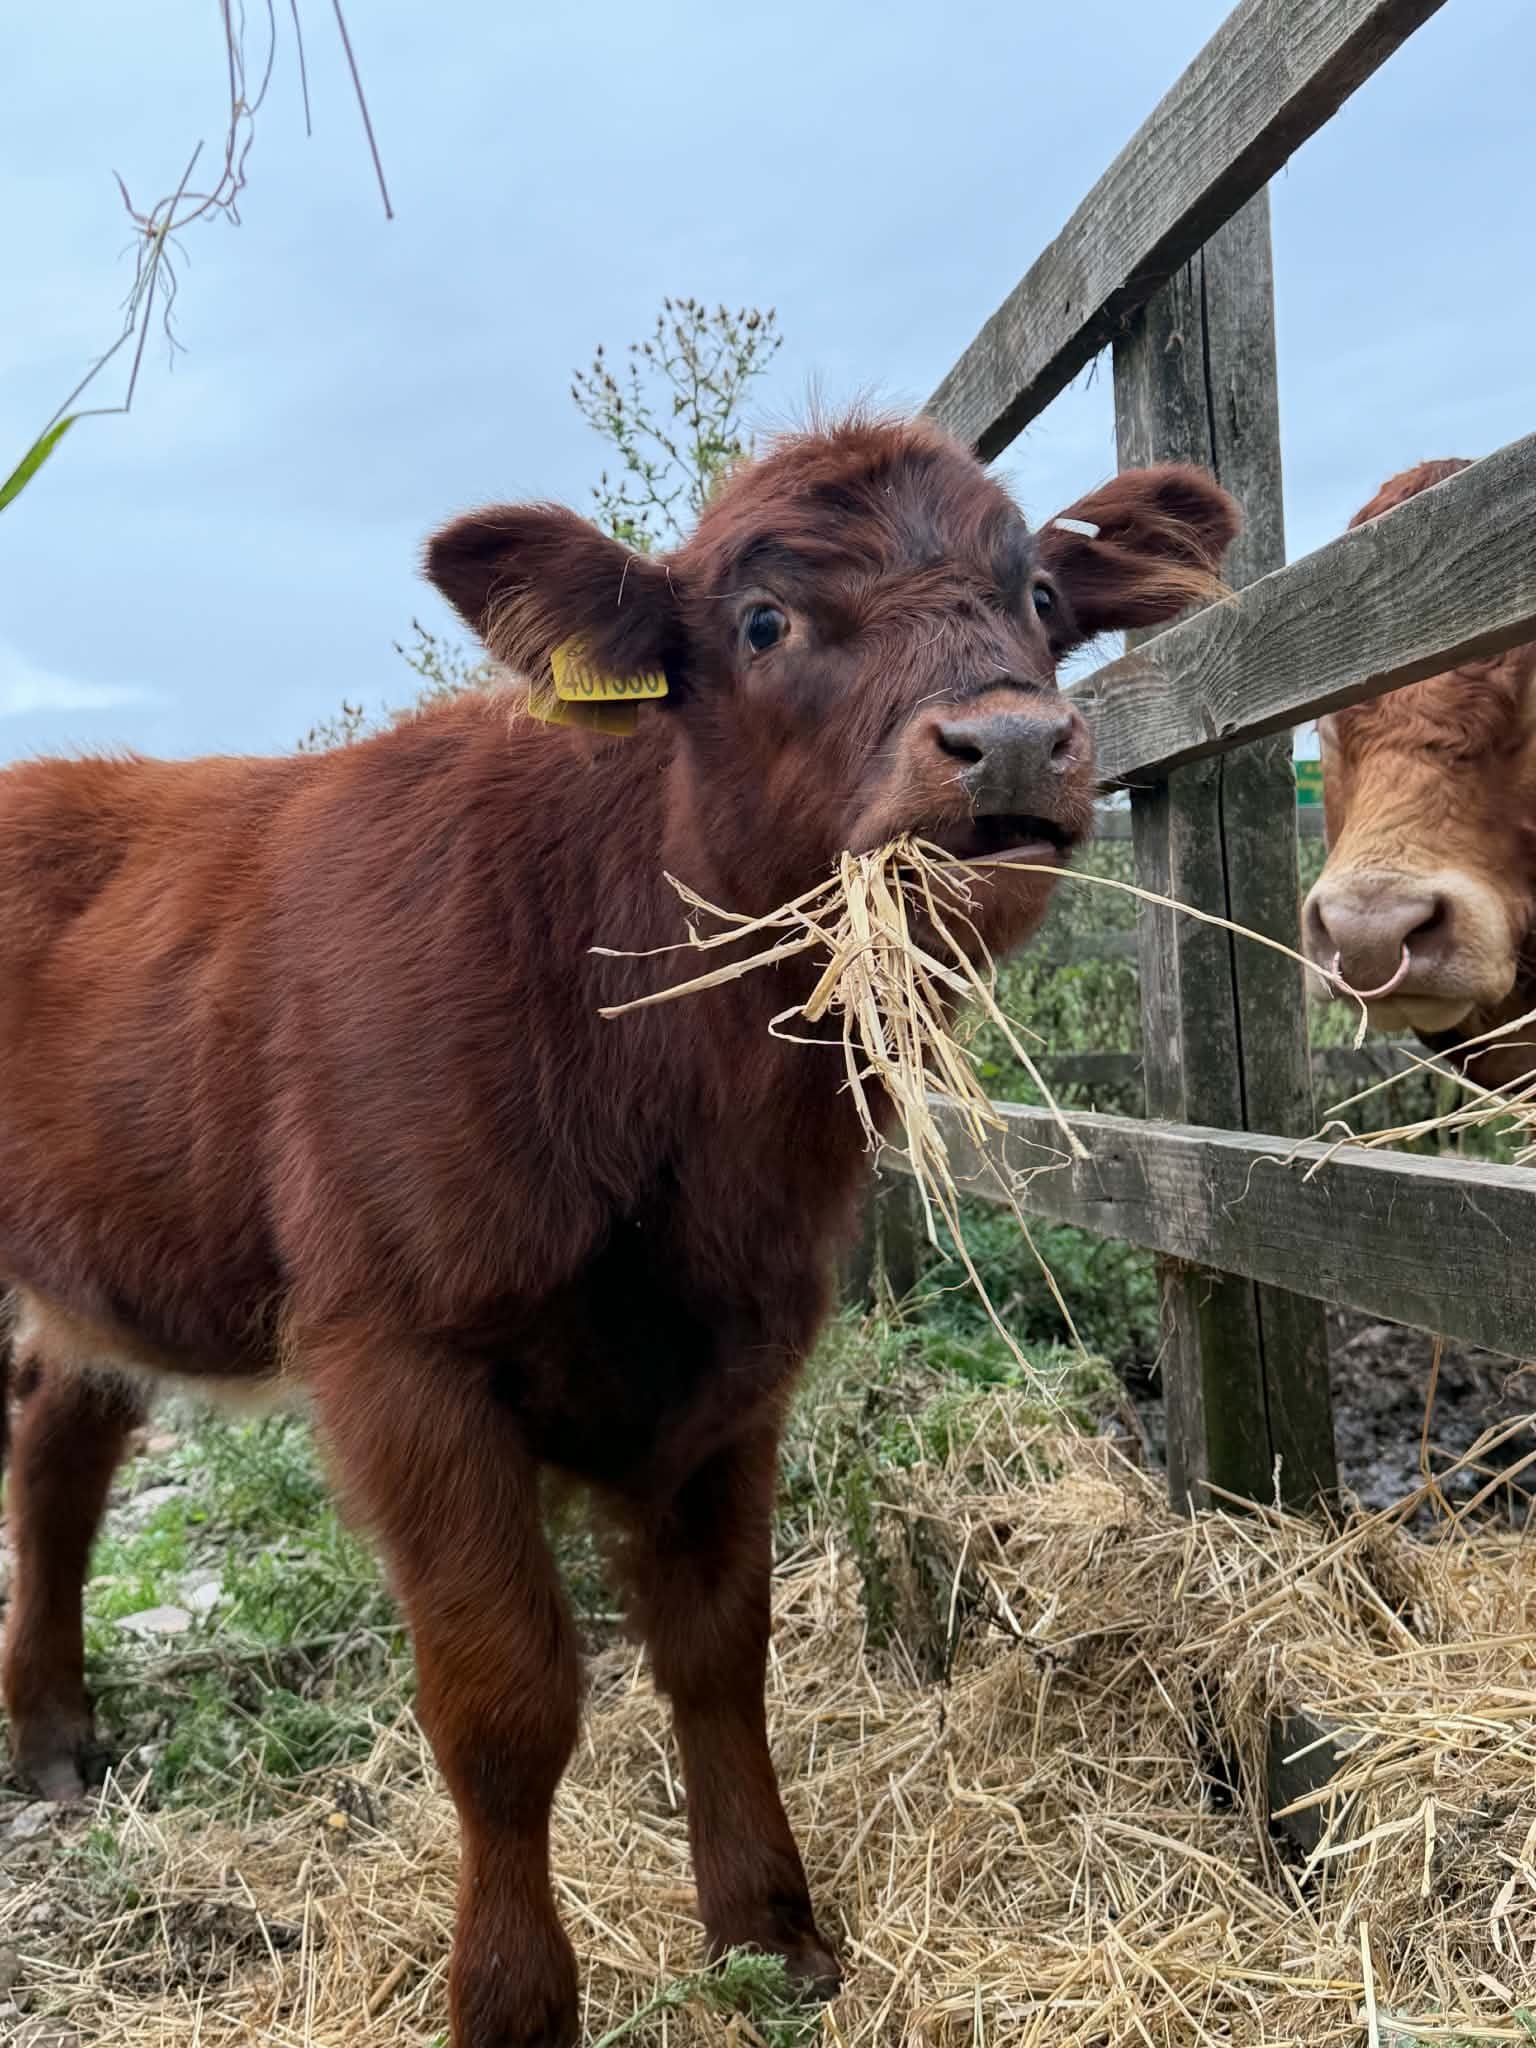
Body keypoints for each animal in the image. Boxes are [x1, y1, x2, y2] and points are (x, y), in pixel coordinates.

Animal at [0, 414, 1237, 2047]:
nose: (1016, 743)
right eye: (762, 622)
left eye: (1040, 593)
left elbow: (719, 1650)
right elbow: (506, 1700)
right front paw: (514, 1998)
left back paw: (53, 1726)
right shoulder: (403, 1357)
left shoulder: (743, 1356)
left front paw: (769, 1928)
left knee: (58, 1448)